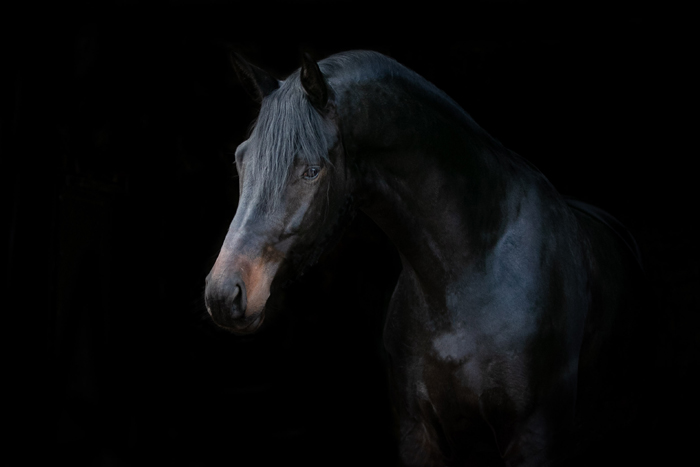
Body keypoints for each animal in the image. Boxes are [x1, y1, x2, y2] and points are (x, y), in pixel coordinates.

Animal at [205, 51, 652, 467]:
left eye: (312, 171)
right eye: (240, 159)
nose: (223, 294)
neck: (472, 274)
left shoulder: (534, 437)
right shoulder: (417, 433)